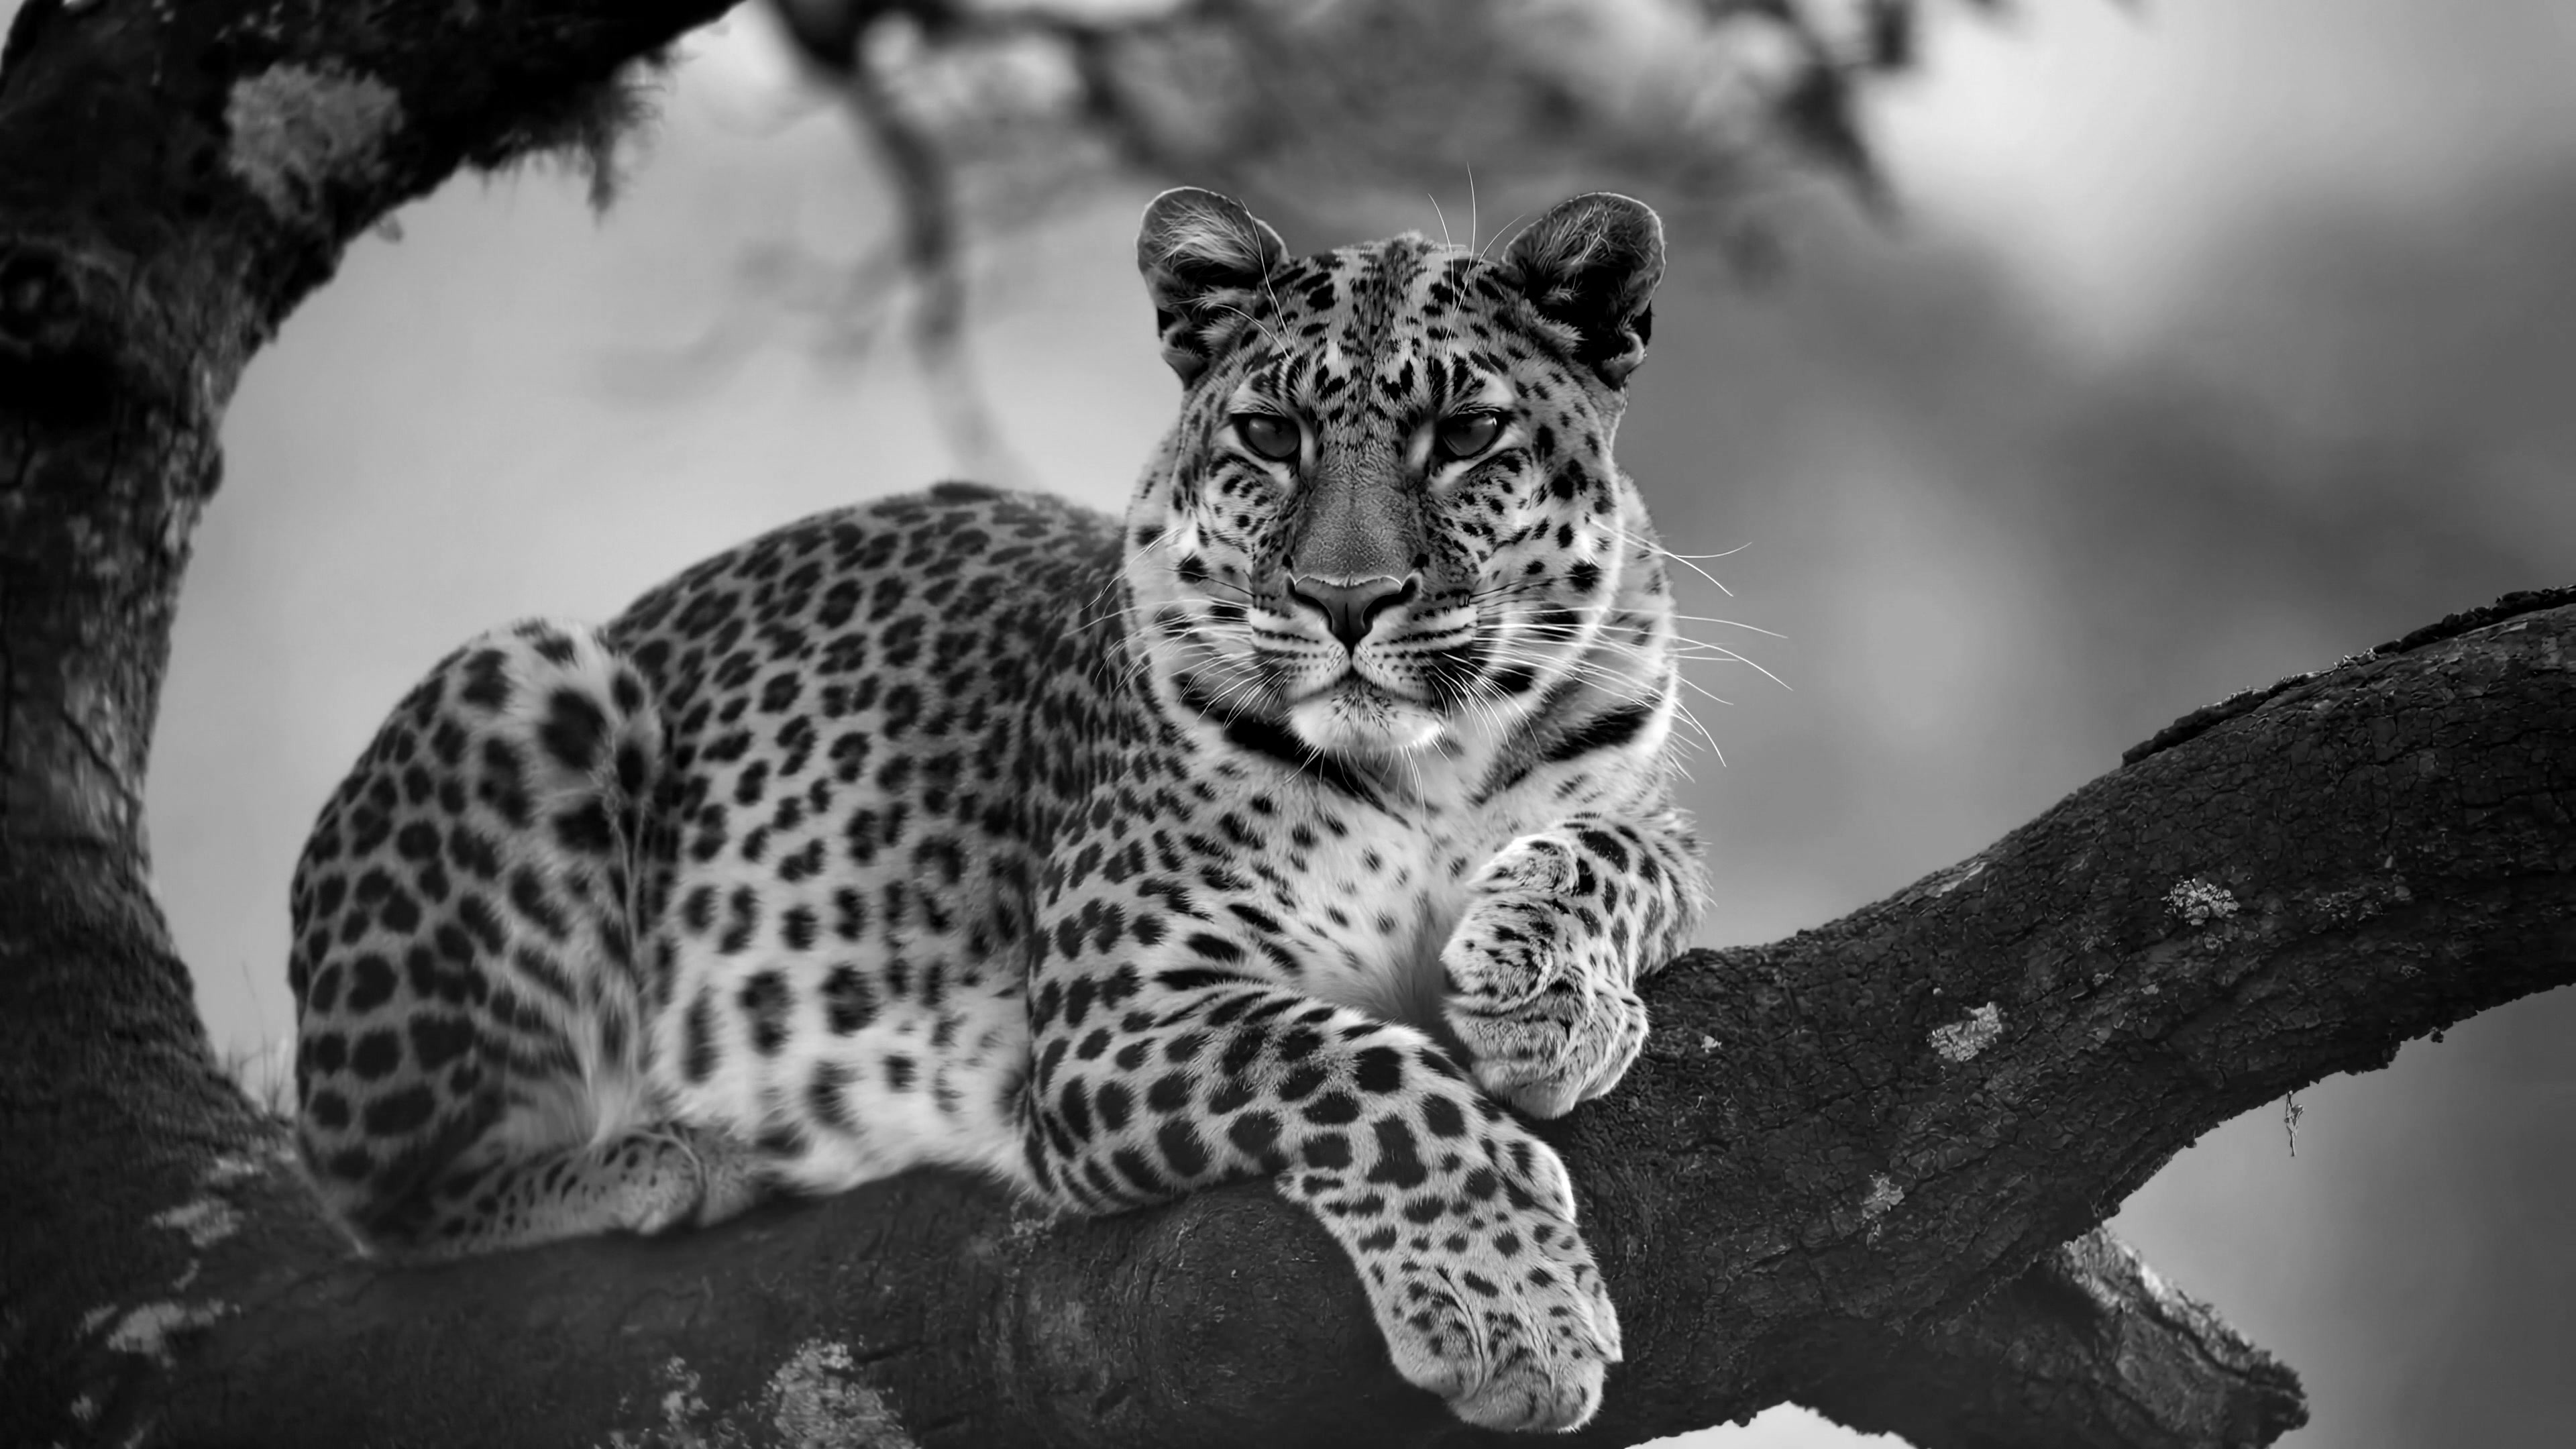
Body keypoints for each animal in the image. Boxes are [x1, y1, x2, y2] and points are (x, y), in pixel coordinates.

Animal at [285, 186, 1709, 1433]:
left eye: (1465, 438)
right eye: (1270, 436)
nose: (1345, 601)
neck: (1435, 763)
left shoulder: (1646, 807)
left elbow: (1625, 853)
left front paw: (1548, 995)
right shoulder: (1111, 1020)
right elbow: (1364, 1074)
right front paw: (1507, 1304)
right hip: (528, 681)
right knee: (375, 1201)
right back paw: (669, 1158)